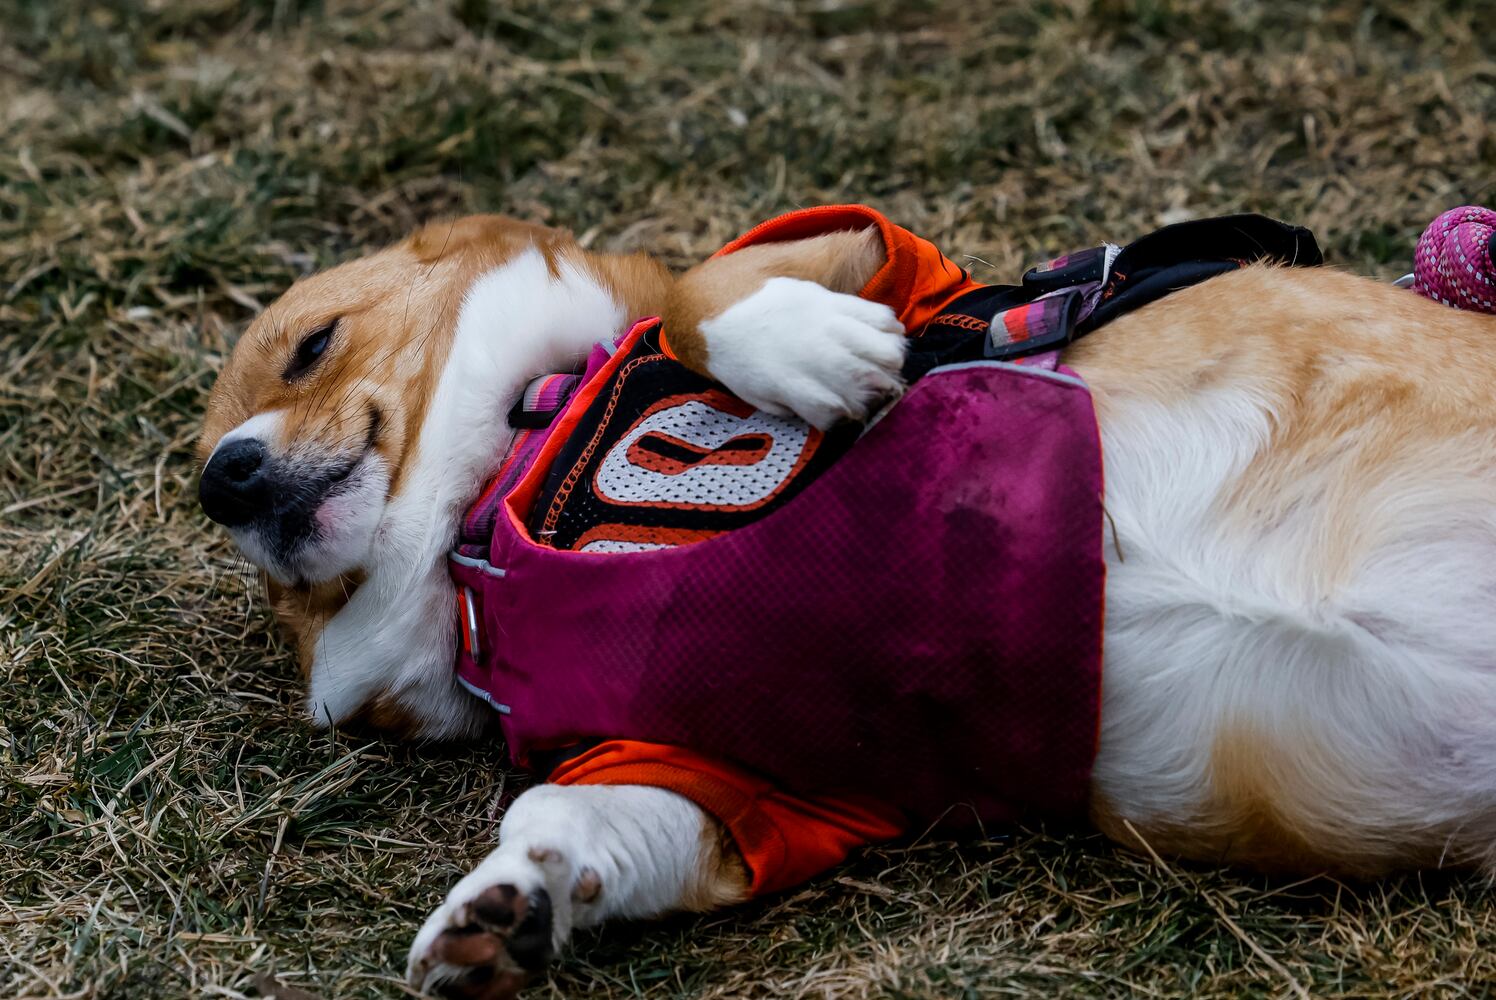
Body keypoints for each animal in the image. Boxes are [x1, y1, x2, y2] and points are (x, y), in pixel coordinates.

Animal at [198, 206, 1496, 994]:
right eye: (275, 594)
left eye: (313, 345)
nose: (225, 479)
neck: (505, 486)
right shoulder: (732, 785)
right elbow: (575, 820)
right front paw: (513, 900)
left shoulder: (879, 258)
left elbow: (700, 293)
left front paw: (812, 354)